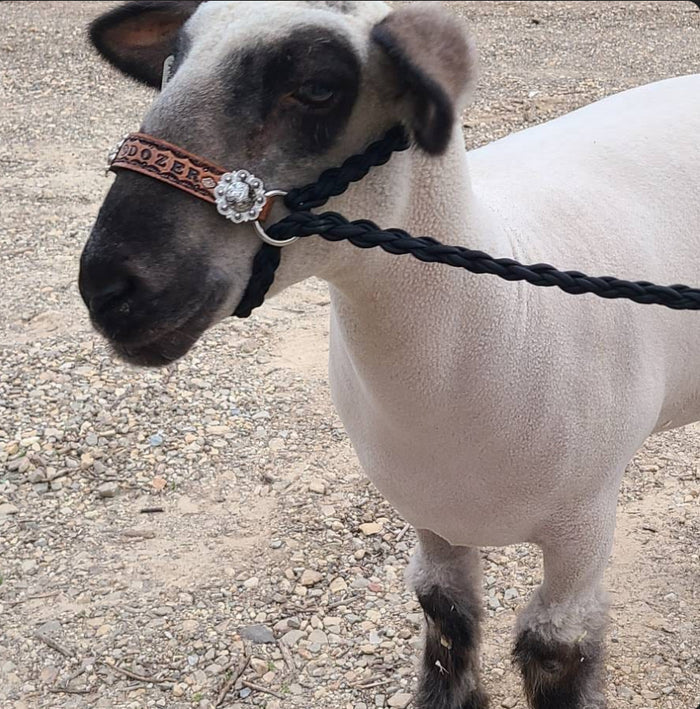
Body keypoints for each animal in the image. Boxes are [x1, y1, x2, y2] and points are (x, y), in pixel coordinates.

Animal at [78, 2, 700, 707]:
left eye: (318, 86)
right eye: (171, 64)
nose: (108, 289)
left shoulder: (584, 527)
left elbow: (555, 647)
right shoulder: (429, 511)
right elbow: (446, 614)